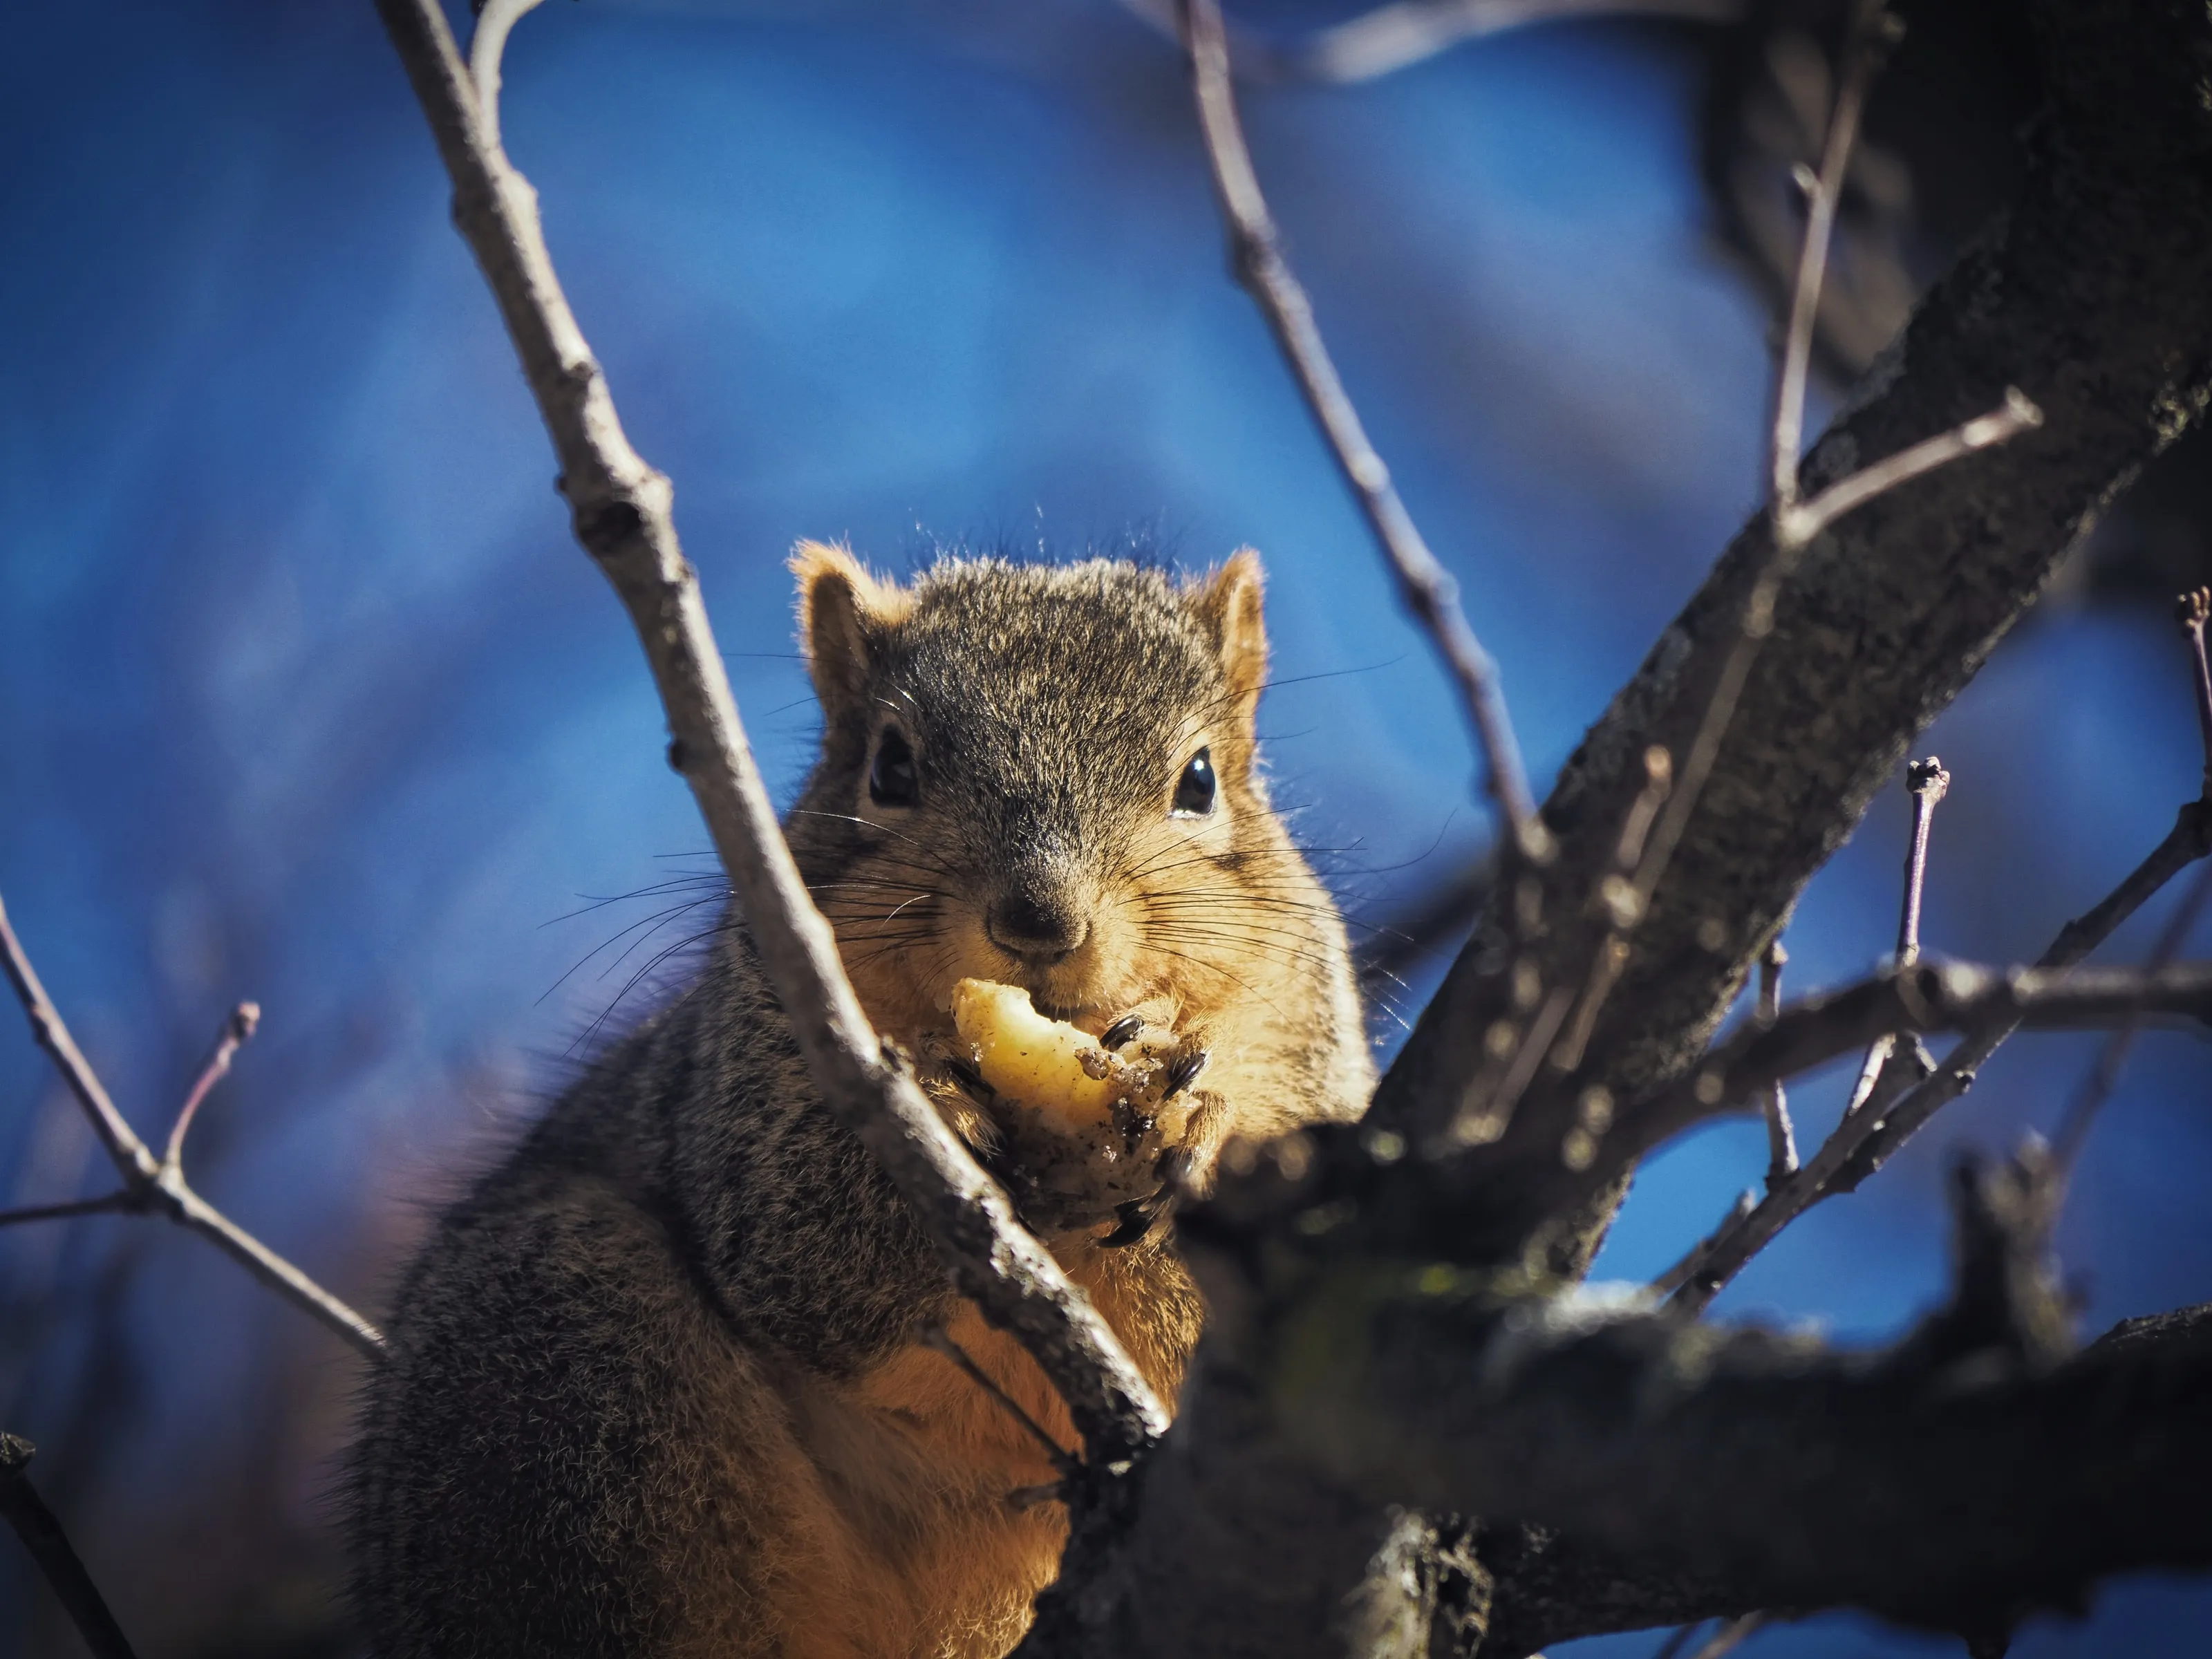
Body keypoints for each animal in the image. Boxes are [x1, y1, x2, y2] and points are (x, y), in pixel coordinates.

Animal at [345, 543, 1376, 1659]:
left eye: (1200, 781)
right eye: (889, 768)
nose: (1039, 921)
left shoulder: (1311, 1050)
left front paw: (1188, 1121)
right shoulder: (751, 1072)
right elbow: (807, 1251)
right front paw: (947, 1109)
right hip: (558, 1338)